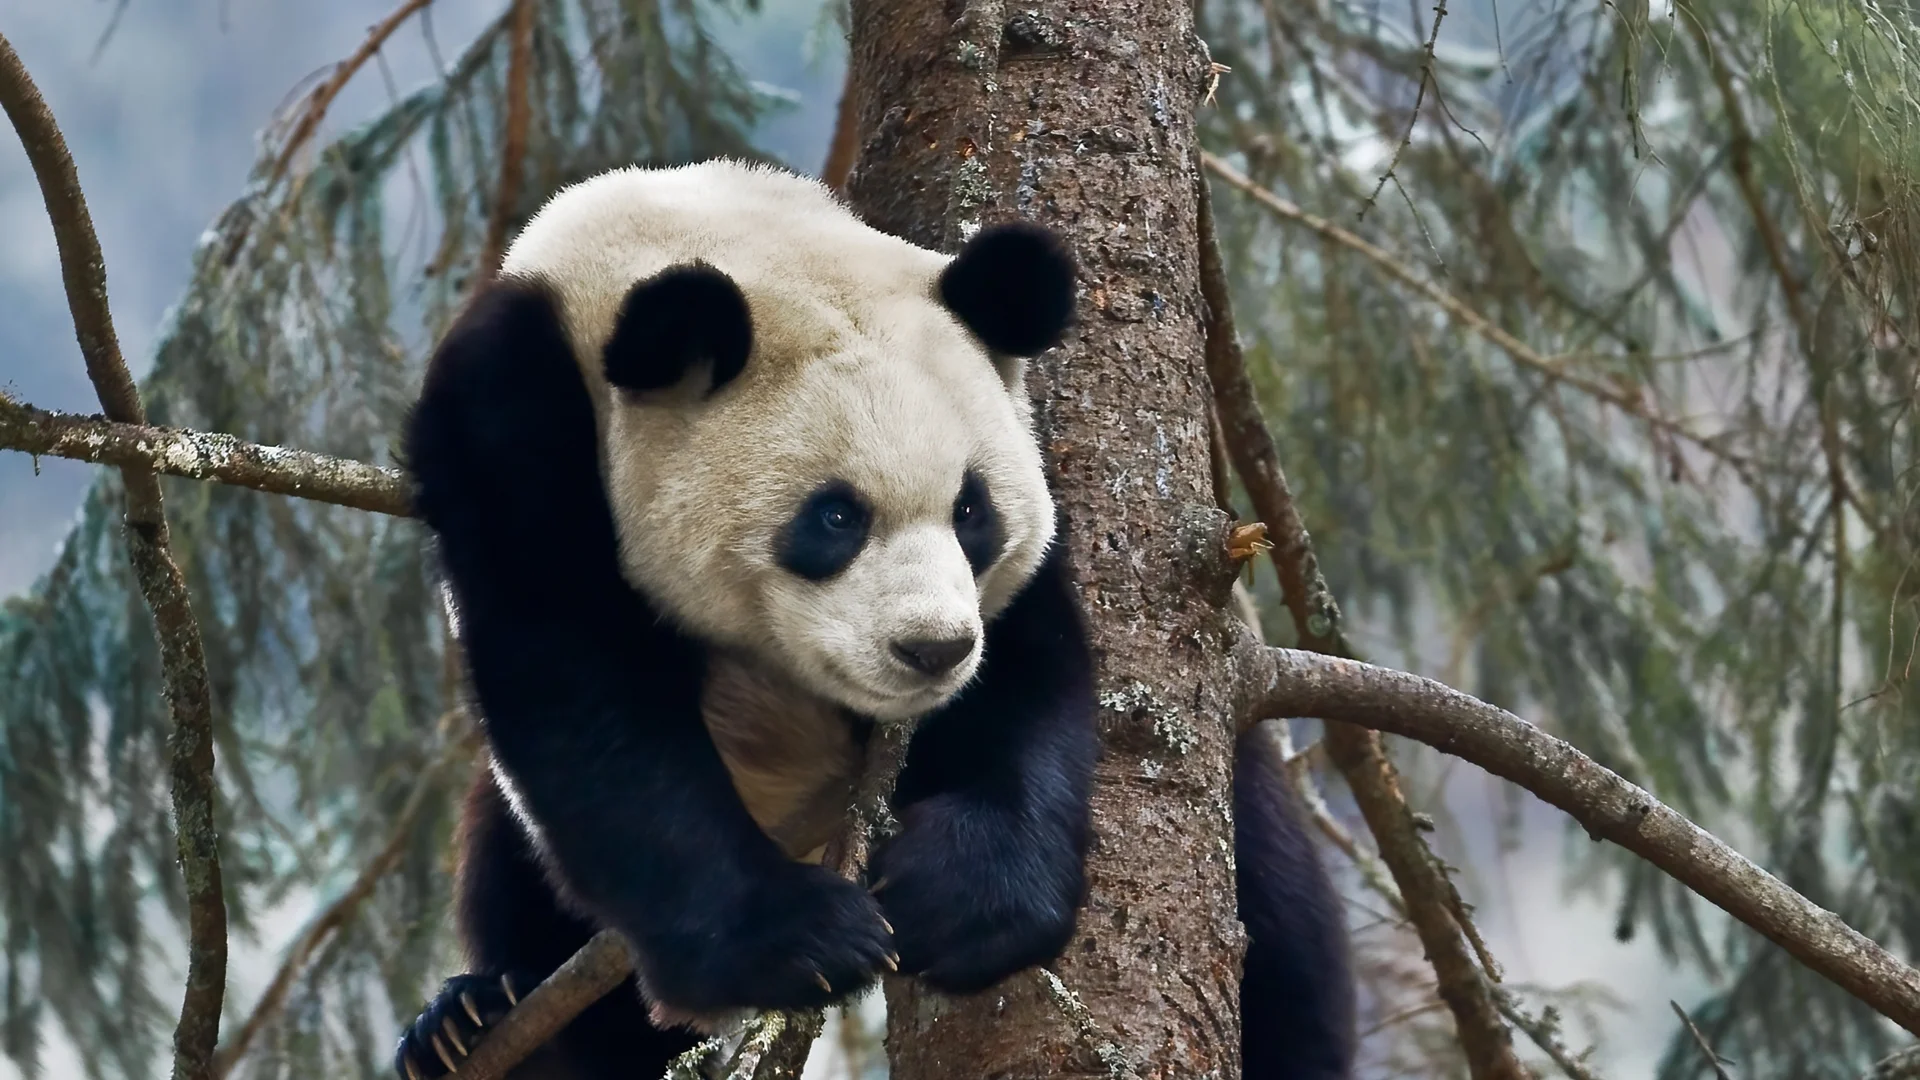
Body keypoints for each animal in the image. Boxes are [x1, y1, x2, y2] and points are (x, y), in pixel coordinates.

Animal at [393, 153, 1351, 1076]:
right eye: (834, 517)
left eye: (972, 512)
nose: (933, 650)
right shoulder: (509, 422)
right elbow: (581, 696)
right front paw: (800, 942)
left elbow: (1030, 664)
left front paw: (965, 894)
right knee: (514, 879)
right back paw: (471, 1019)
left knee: (1283, 934)